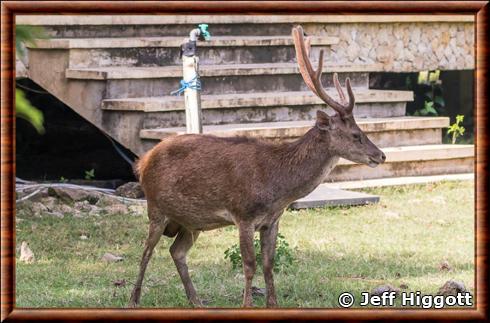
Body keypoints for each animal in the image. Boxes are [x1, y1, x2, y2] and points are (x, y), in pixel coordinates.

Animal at [129, 26, 386, 308]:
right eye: (355, 135)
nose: (381, 155)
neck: (277, 185)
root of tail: (142, 161)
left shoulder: (272, 220)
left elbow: (268, 265)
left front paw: (272, 304)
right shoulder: (243, 214)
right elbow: (249, 265)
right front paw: (247, 304)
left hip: (191, 221)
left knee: (176, 251)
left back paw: (196, 301)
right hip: (156, 208)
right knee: (146, 251)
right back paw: (134, 299)